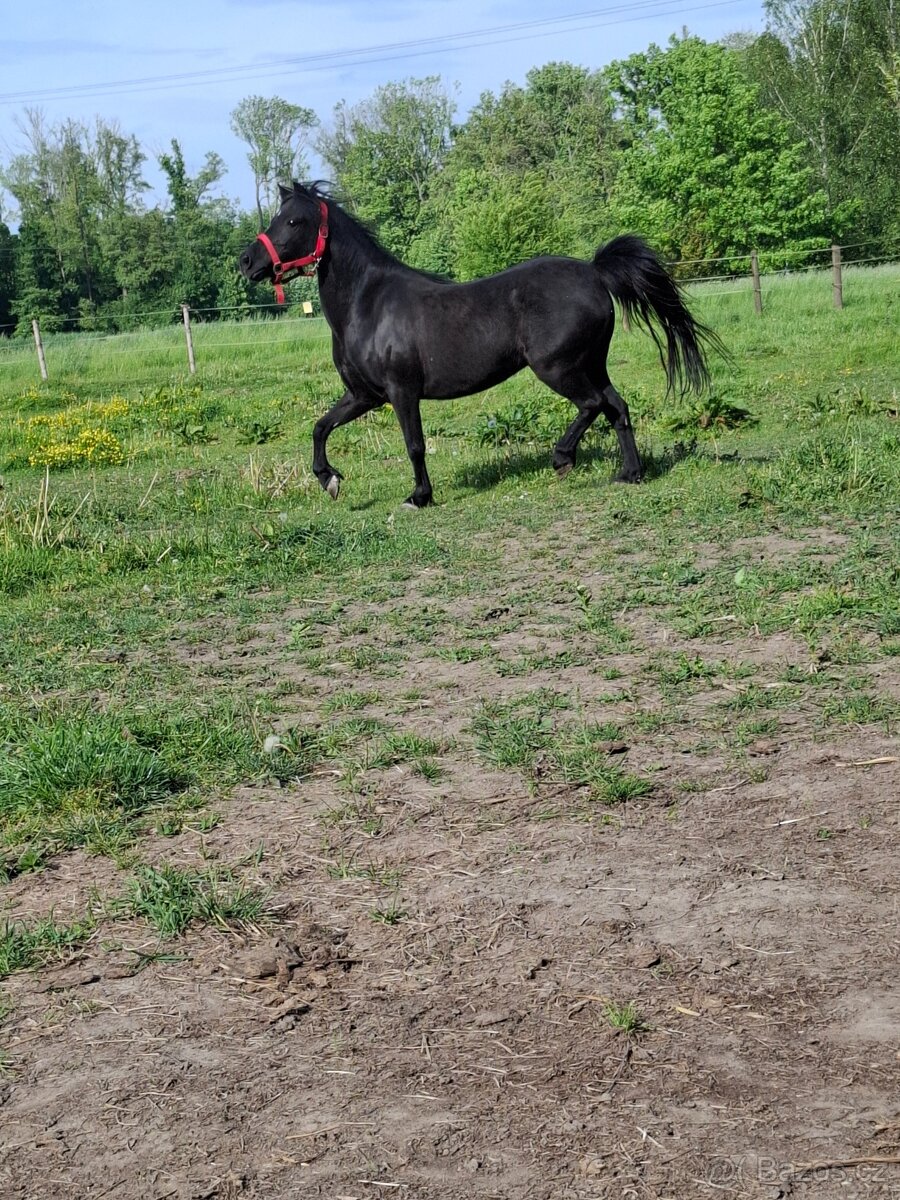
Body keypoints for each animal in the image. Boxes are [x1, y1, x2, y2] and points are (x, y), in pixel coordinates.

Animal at [239, 182, 719, 508]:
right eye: (277, 218)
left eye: (293, 221)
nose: (247, 261)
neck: (368, 304)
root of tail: (594, 271)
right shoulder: (364, 395)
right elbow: (320, 427)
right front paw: (329, 479)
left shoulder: (401, 392)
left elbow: (414, 444)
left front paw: (419, 496)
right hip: (590, 364)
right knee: (617, 408)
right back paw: (629, 474)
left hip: (558, 367)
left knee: (592, 405)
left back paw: (563, 458)